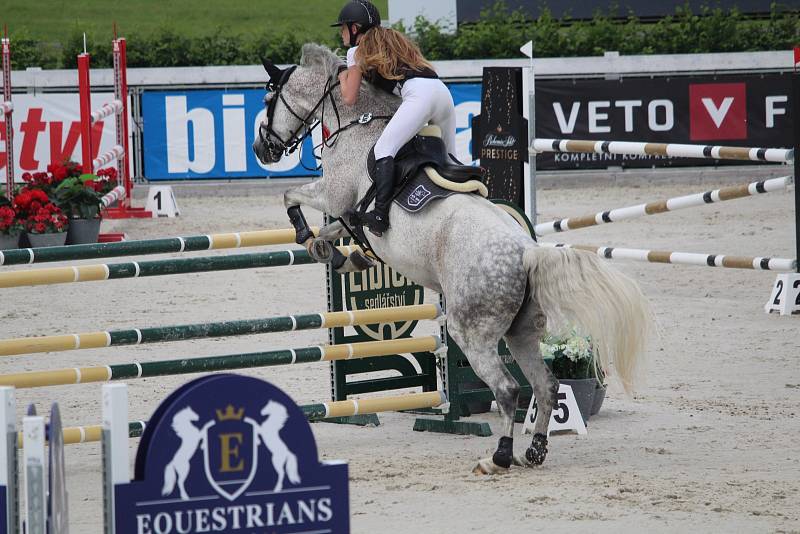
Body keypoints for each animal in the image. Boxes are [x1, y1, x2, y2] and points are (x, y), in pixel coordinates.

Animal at [253, 44, 652, 476]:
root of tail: (526, 251)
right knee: (545, 386)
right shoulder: (344, 211)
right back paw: (534, 451)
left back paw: (498, 457)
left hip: (471, 331)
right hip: (521, 333)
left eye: (268, 100)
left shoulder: (334, 194)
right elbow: (335, 233)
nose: (261, 149)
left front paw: (305, 235)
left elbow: (291, 196)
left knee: (508, 389)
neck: (355, 123)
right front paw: (338, 255)